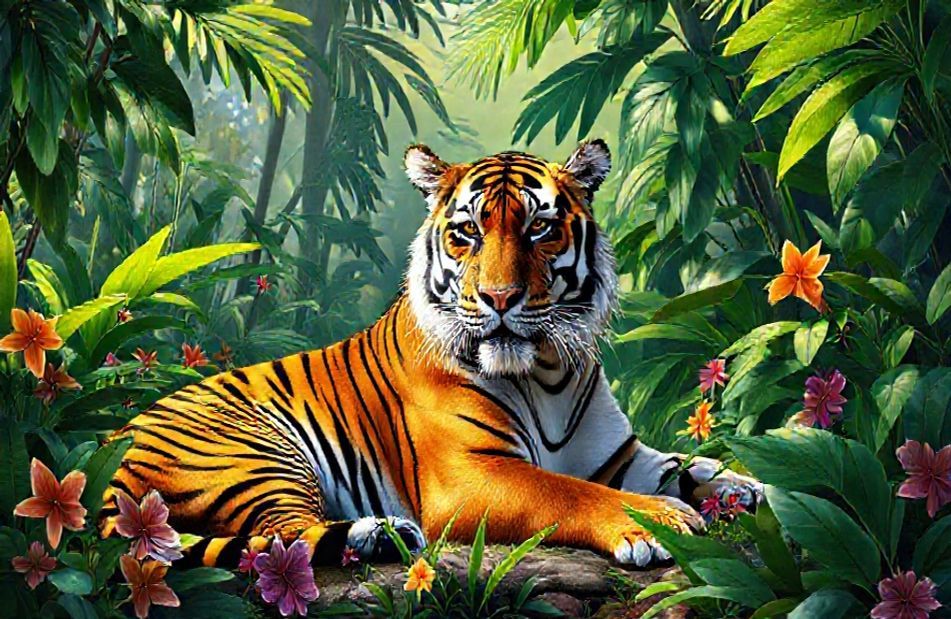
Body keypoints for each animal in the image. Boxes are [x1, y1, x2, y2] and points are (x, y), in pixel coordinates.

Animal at [100, 139, 760, 569]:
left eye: (540, 229)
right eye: (467, 232)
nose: (500, 297)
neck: (544, 374)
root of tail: (107, 452)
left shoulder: (617, 454)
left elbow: (682, 464)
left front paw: (743, 485)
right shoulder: (471, 475)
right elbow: (569, 491)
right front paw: (660, 521)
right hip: (255, 454)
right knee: (282, 537)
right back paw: (381, 534)